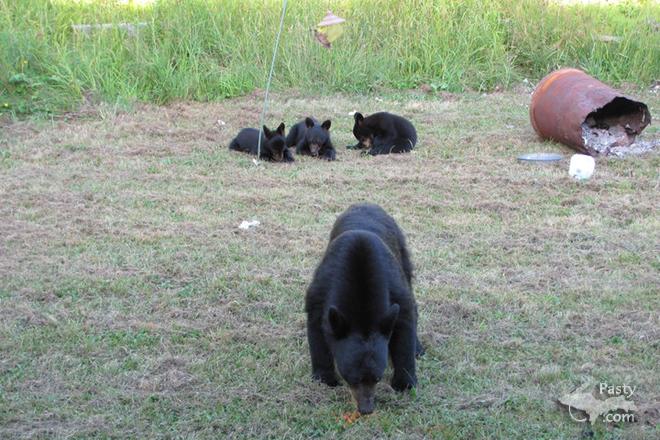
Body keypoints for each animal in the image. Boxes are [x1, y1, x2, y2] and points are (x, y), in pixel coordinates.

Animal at [305, 203, 423, 415]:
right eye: (352, 378)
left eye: (377, 378)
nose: (366, 409)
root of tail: (366, 203)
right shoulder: (320, 291)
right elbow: (316, 329)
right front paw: (324, 378)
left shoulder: (394, 286)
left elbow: (405, 320)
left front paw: (405, 383)